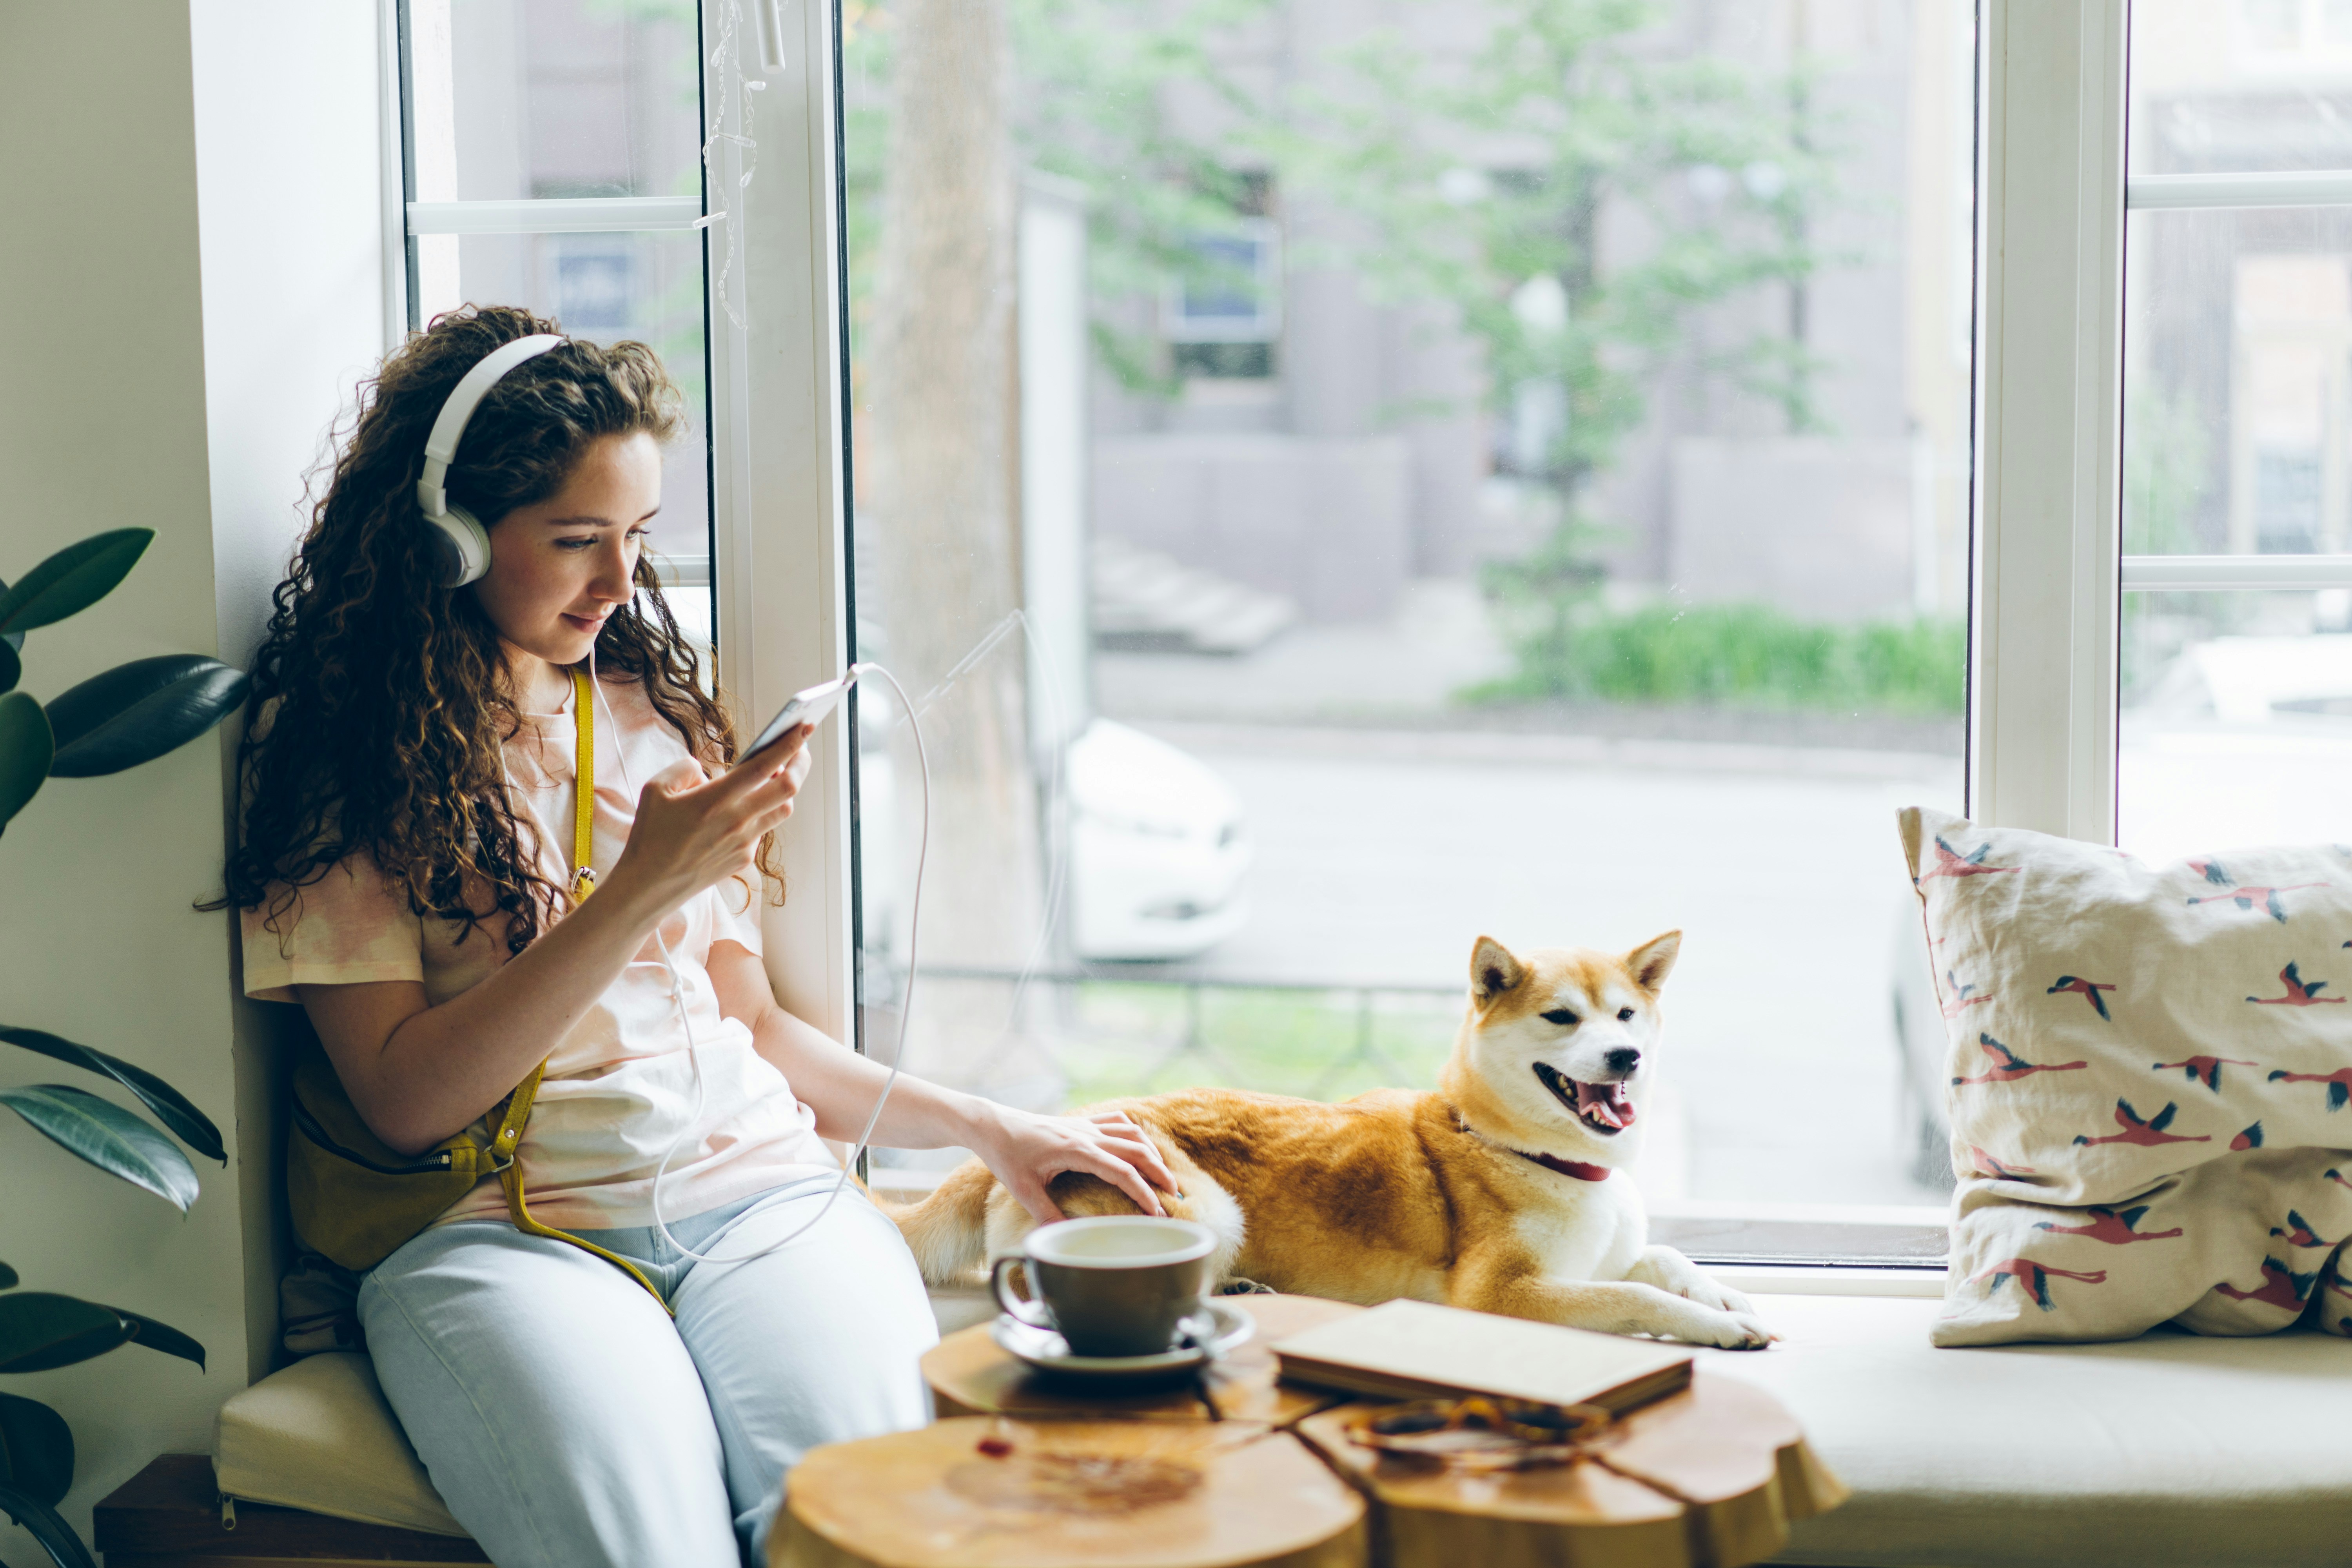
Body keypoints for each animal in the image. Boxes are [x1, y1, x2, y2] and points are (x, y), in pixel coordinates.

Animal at [889, 931, 1769, 1354]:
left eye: (1624, 1014)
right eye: (1561, 1017)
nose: (1625, 1057)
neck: (1525, 1150)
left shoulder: (1600, 1256)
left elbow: (1664, 1261)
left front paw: (1724, 1296)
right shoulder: (1503, 1295)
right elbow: (1638, 1296)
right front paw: (1715, 1325)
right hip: (1203, 1207)